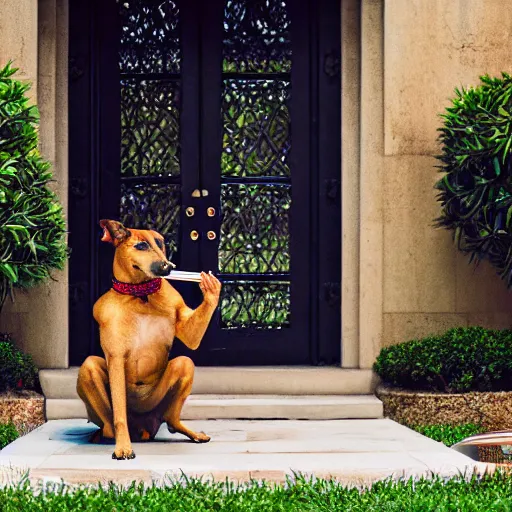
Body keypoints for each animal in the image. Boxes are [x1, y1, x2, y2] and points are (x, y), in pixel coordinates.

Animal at [77, 220, 221, 460]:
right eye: (141, 246)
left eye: (161, 244)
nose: (168, 267)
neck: (140, 295)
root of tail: (143, 431)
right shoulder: (115, 358)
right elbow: (119, 415)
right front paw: (122, 447)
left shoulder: (185, 324)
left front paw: (211, 288)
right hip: (89, 371)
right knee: (109, 423)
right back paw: (110, 438)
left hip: (177, 377)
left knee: (172, 418)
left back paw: (189, 433)